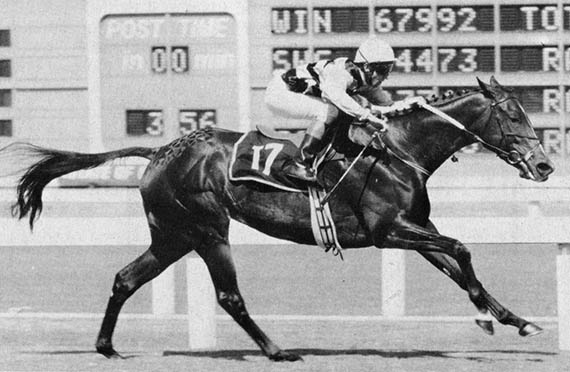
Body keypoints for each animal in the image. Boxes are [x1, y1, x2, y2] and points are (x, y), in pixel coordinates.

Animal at [5, 77, 552, 362]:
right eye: (513, 115)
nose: (545, 166)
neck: (398, 151)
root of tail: (161, 148)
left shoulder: (416, 231)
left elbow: (456, 263)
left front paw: (514, 320)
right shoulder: (387, 232)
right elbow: (463, 249)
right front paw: (487, 316)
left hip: (173, 235)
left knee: (125, 278)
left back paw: (106, 348)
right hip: (207, 228)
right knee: (228, 295)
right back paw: (276, 350)